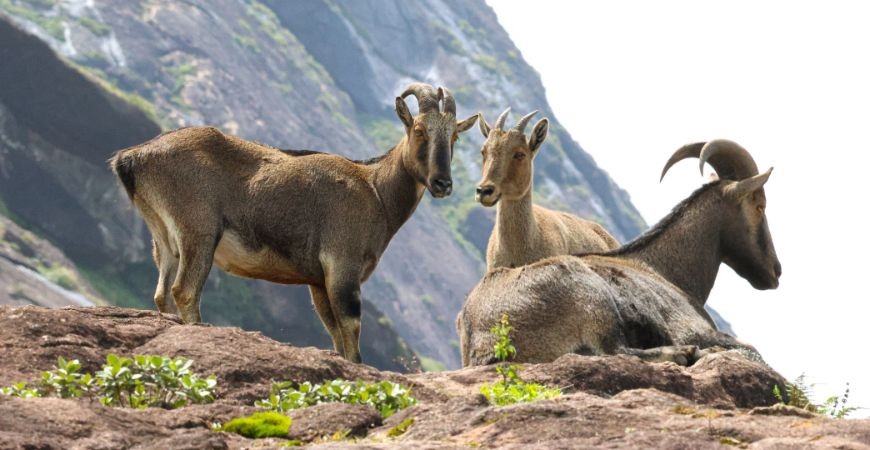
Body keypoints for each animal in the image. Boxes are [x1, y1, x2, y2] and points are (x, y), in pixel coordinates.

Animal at [111, 83, 478, 363]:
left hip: (164, 238)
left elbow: (336, 335)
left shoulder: (317, 280)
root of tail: (132, 158)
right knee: (184, 291)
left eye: (454, 138)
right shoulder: (341, 266)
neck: (375, 191)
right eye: (419, 130)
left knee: (161, 292)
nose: (443, 184)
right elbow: (351, 332)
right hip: (198, 232)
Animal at [458, 140, 781, 367]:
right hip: (590, 297)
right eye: (759, 205)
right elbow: (750, 350)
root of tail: (479, 337)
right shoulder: (691, 328)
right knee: (615, 351)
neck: (667, 271)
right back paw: (682, 354)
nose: (775, 271)